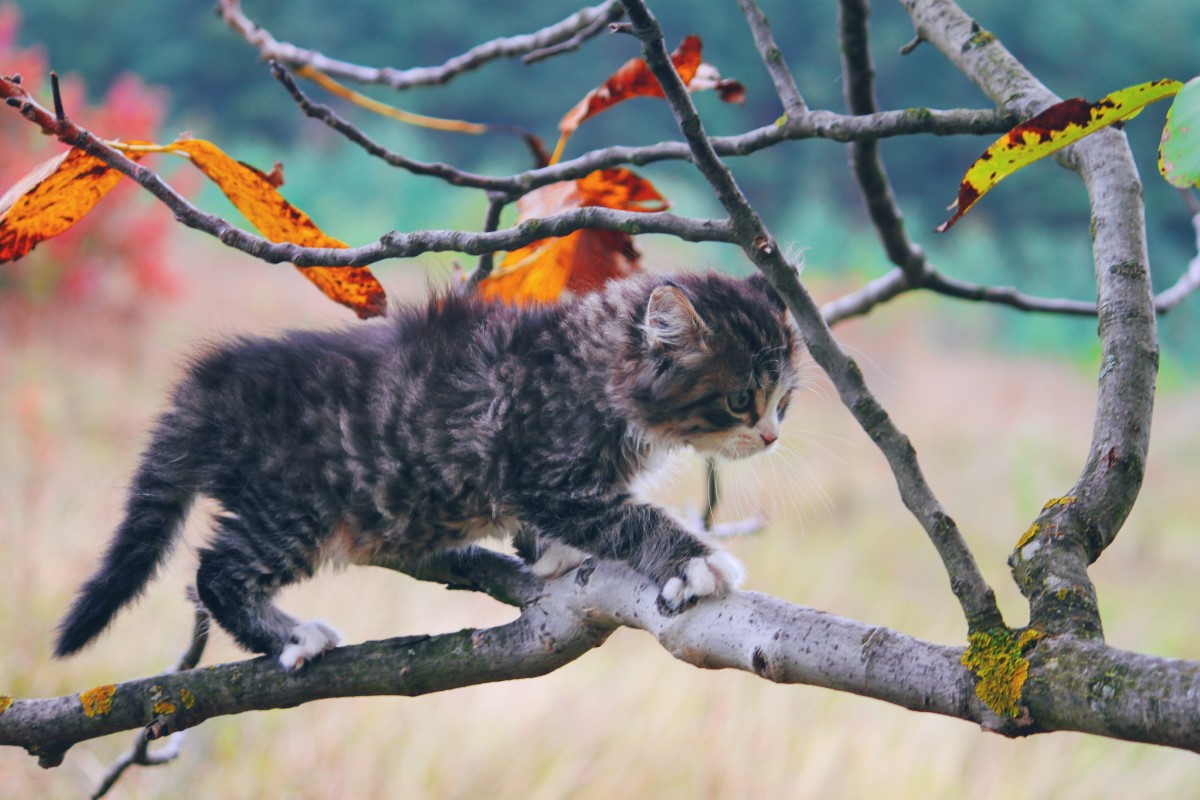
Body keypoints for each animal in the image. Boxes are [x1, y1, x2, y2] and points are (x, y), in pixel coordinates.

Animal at [54, 272, 796, 671]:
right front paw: (697, 563)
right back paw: (292, 636)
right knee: (215, 572)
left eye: (784, 399)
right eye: (741, 398)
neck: (594, 371)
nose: (770, 435)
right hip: (293, 510)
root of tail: (211, 386)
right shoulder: (545, 471)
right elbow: (626, 515)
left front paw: (549, 554)